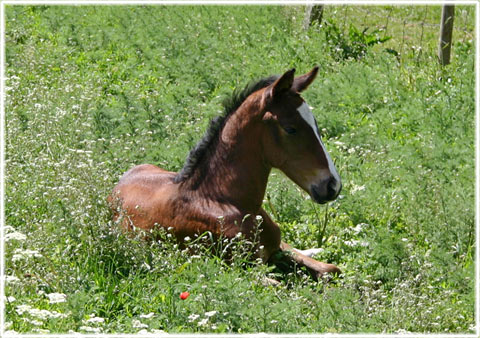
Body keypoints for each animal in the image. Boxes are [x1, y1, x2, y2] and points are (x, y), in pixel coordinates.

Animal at [109, 66, 342, 280]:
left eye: (316, 125)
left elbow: (331, 269)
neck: (226, 200)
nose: (333, 186)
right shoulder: (242, 268)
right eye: (290, 129)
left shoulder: (276, 249)